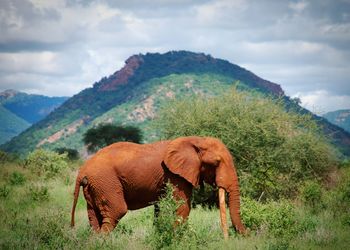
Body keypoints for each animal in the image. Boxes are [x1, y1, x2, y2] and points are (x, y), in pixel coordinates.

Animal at [70, 136, 246, 237]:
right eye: (216, 163)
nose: (246, 234)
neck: (196, 140)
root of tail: (82, 170)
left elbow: (161, 207)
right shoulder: (175, 175)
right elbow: (182, 206)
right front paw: (175, 238)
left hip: (94, 186)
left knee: (93, 215)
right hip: (105, 182)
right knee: (116, 211)